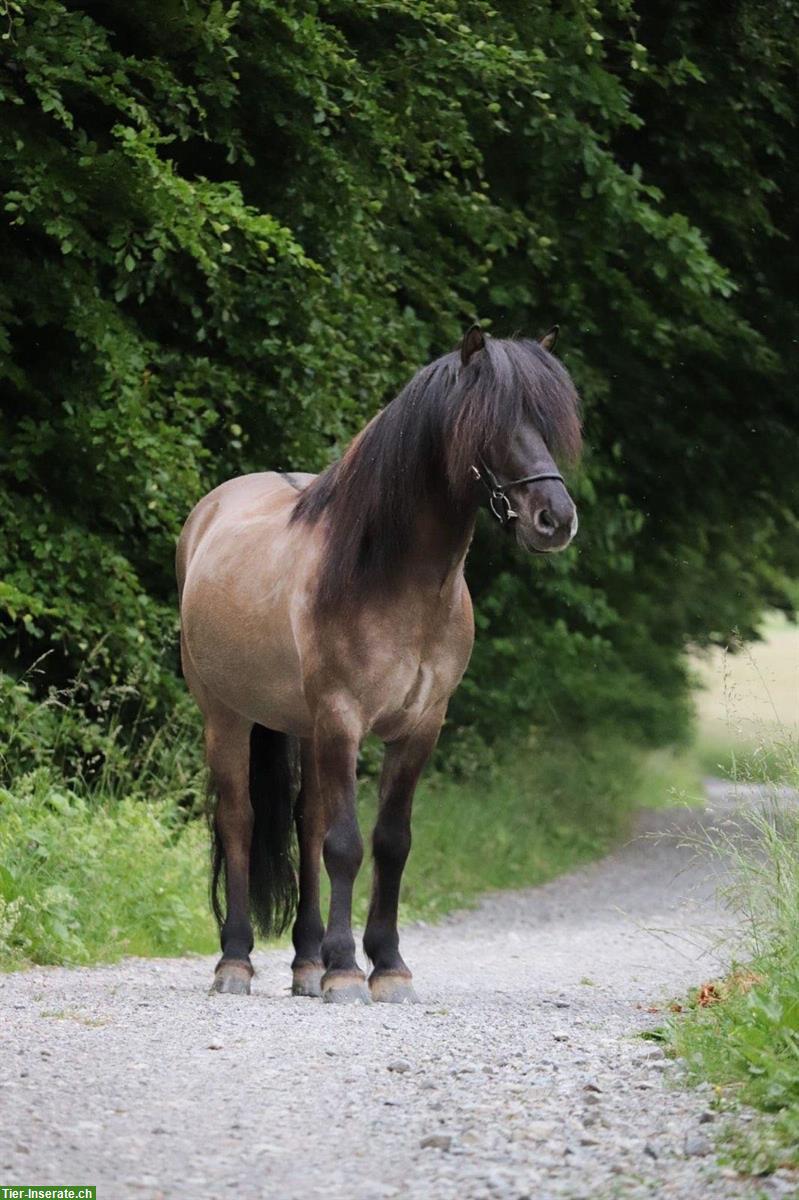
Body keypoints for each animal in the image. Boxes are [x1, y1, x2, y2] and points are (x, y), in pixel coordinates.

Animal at [176, 321, 578, 1003]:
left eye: (548, 423)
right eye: (490, 424)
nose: (555, 520)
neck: (396, 581)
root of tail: (209, 513)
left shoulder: (421, 726)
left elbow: (390, 842)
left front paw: (387, 965)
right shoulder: (343, 719)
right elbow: (345, 844)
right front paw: (345, 970)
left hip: (303, 726)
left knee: (305, 823)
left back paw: (305, 964)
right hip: (226, 717)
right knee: (239, 821)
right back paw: (236, 962)